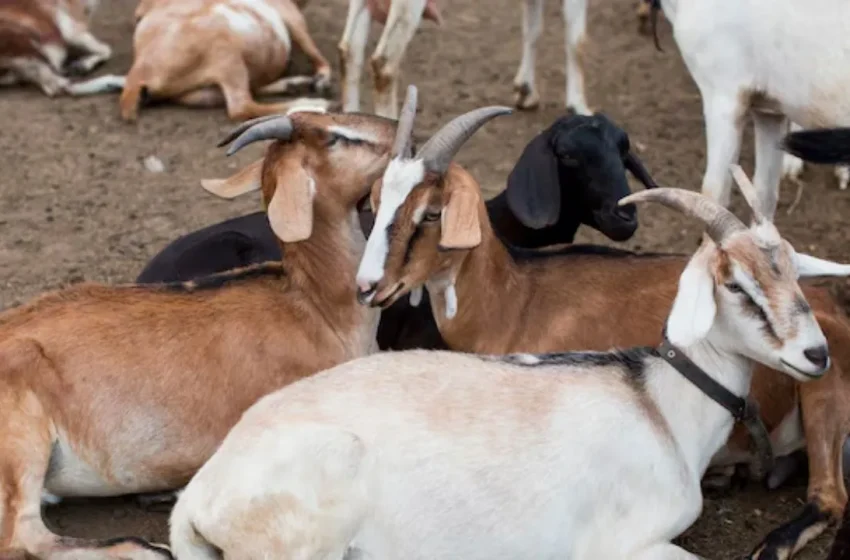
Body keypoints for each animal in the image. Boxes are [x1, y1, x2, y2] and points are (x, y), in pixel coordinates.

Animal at [0, 109, 400, 560]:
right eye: (335, 137)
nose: (396, 128)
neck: (316, 310)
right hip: (21, 440)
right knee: (21, 535)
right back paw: (146, 547)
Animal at [169, 170, 840, 556]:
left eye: (792, 273)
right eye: (736, 285)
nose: (817, 355)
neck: (658, 405)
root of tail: (201, 495)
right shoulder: (619, 545)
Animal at [334, 0, 592, 117]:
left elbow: (533, 30)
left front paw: (525, 90)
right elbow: (577, 42)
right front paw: (579, 106)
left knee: (349, 50)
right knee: (384, 63)